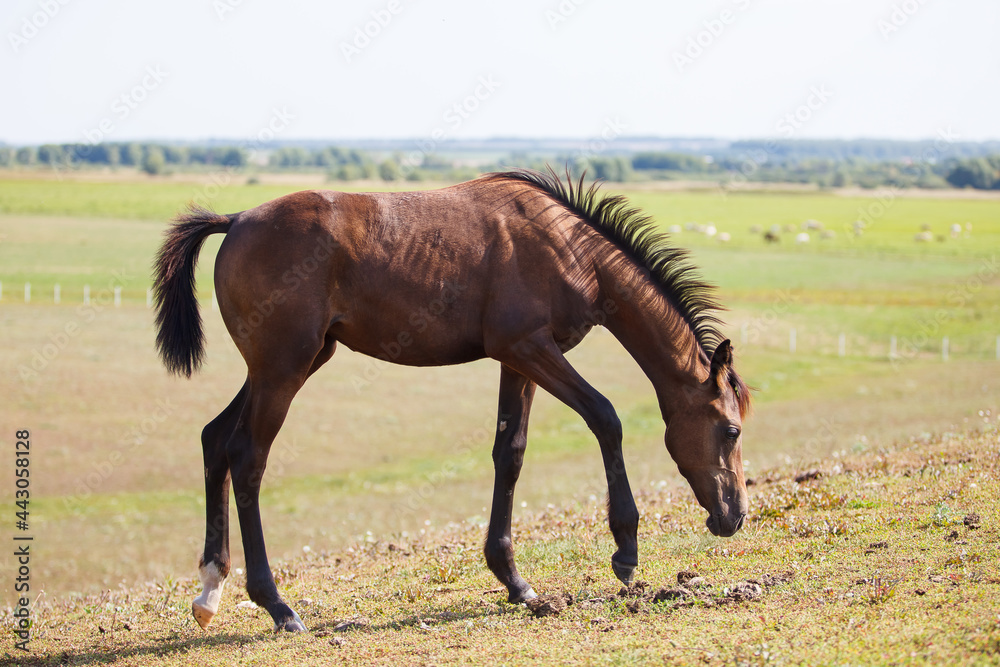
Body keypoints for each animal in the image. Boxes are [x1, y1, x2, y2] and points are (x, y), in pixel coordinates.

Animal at [153, 168, 751, 633]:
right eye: (731, 430)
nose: (735, 516)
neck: (567, 247)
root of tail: (236, 220)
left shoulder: (517, 360)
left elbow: (510, 453)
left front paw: (515, 581)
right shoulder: (530, 347)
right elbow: (606, 418)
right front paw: (626, 551)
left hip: (288, 364)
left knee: (215, 439)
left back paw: (210, 591)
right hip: (283, 369)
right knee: (248, 457)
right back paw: (277, 606)